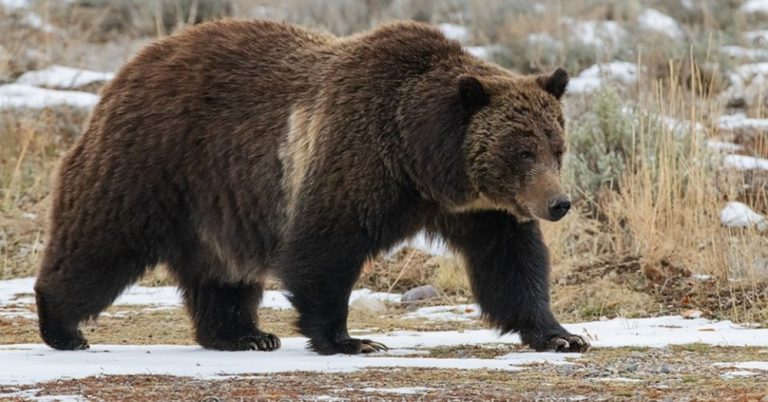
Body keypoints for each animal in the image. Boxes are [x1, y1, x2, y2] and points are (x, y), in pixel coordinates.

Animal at [33, 18, 588, 354]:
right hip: (155, 163)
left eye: (556, 146)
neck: (421, 158)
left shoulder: (480, 210)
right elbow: (324, 248)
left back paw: (245, 335)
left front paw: (561, 335)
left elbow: (511, 264)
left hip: (215, 201)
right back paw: (64, 327)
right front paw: (351, 340)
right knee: (100, 243)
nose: (558, 203)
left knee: (222, 273)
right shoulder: (356, 157)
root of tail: (129, 67)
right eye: (521, 150)